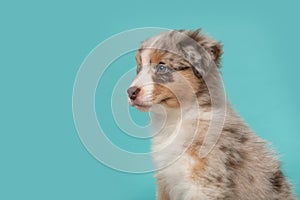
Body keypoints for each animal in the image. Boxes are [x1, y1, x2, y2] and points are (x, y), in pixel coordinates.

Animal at [126, 29, 296, 200]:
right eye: (139, 68)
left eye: (162, 67)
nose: (130, 92)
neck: (177, 119)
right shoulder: (165, 183)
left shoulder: (204, 185)